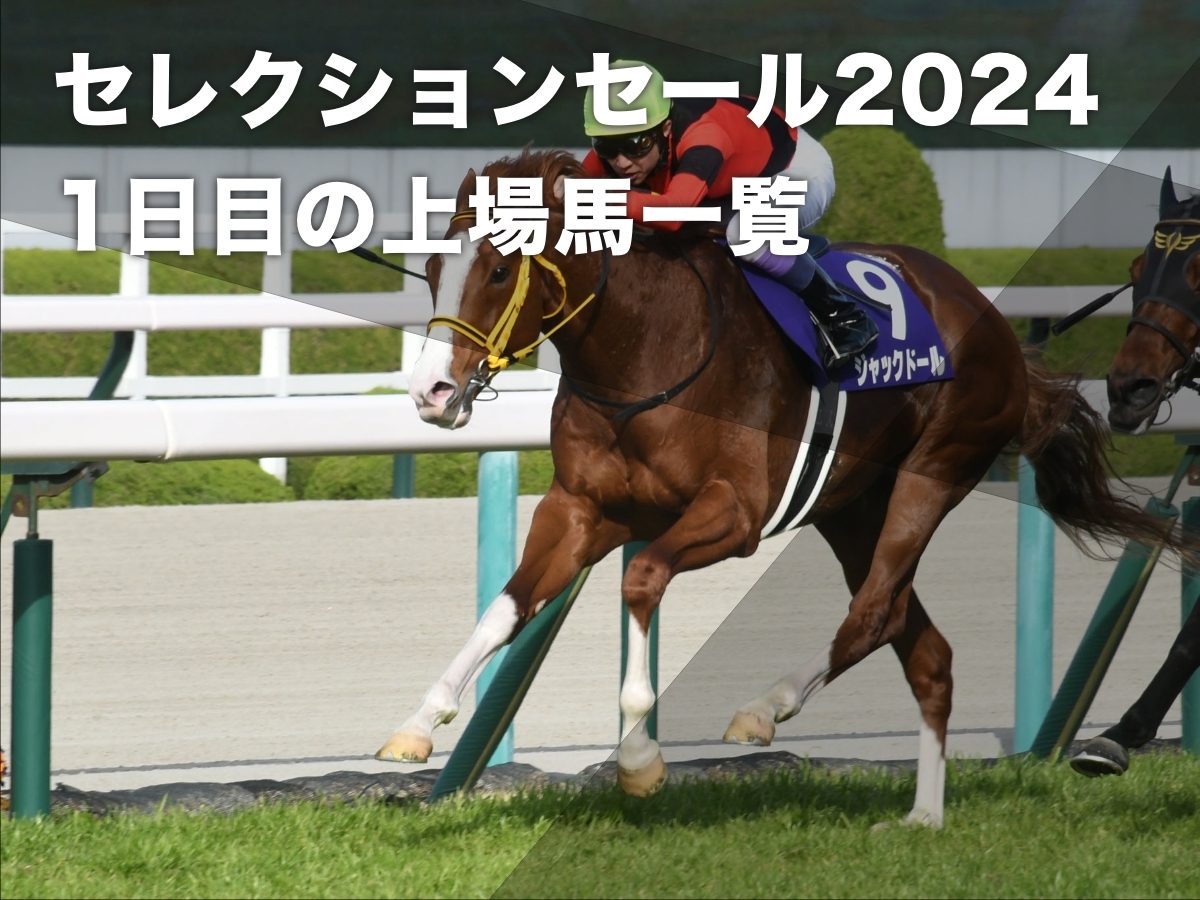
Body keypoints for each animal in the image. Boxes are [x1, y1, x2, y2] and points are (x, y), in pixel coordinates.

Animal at [376, 149, 1182, 827]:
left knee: (872, 613)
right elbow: (506, 608)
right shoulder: (581, 509)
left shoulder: (733, 513)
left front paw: (639, 760)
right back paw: (923, 817)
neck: (644, 347)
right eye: (431, 265)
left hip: (936, 468)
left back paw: (765, 710)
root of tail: (993, 322)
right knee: (922, 646)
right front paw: (416, 725)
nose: (432, 392)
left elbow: (641, 579)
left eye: (498, 272)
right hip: (852, 507)